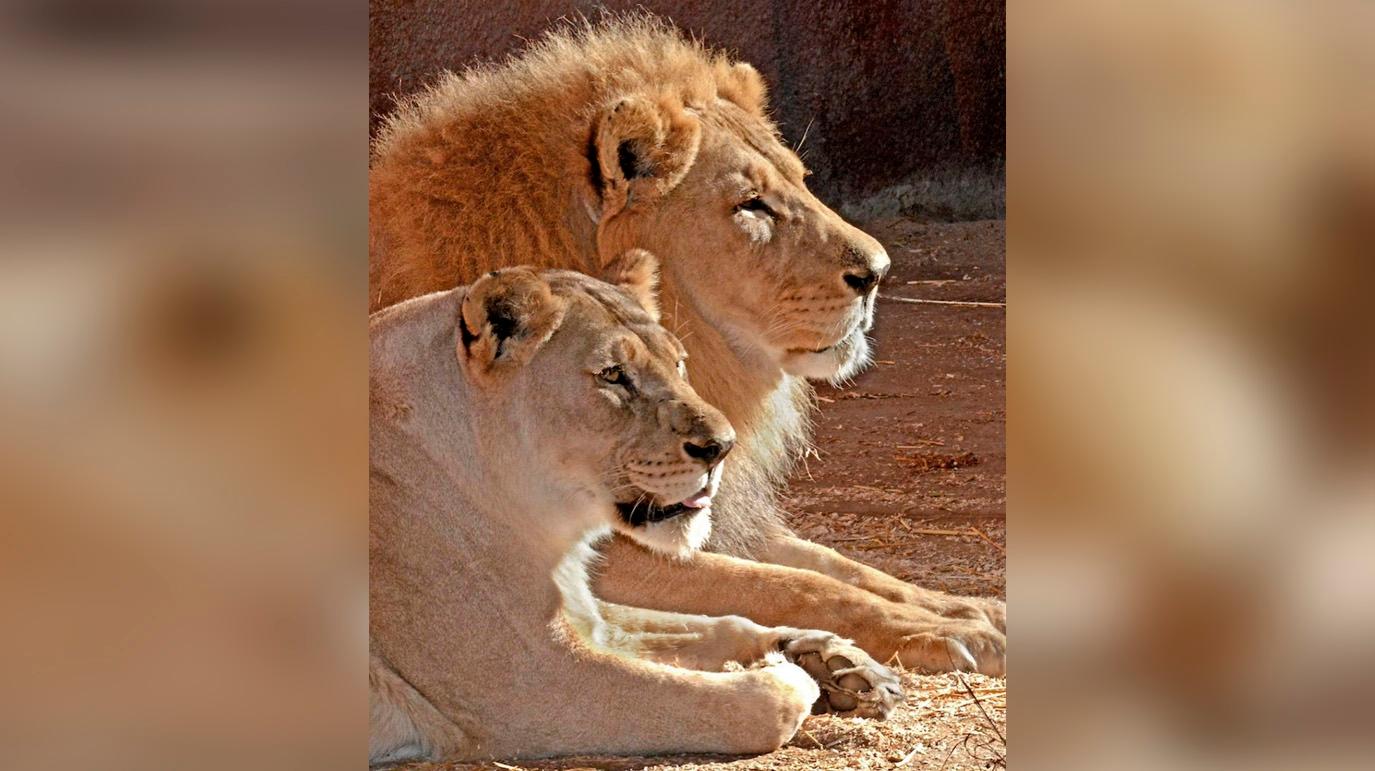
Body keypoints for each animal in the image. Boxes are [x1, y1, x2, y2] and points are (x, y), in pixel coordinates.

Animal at [369, 256, 901, 764]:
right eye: (612, 375)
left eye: (679, 364)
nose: (722, 448)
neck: (551, 533)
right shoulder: (537, 685)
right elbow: (744, 703)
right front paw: (791, 674)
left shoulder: (586, 620)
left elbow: (717, 624)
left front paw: (829, 657)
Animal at [370, 15, 1005, 674]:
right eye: (751, 205)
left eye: (803, 183)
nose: (878, 273)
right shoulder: (610, 549)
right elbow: (787, 584)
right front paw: (944, 631)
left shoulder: (716, 514)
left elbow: (841, 565)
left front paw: (971, 608)